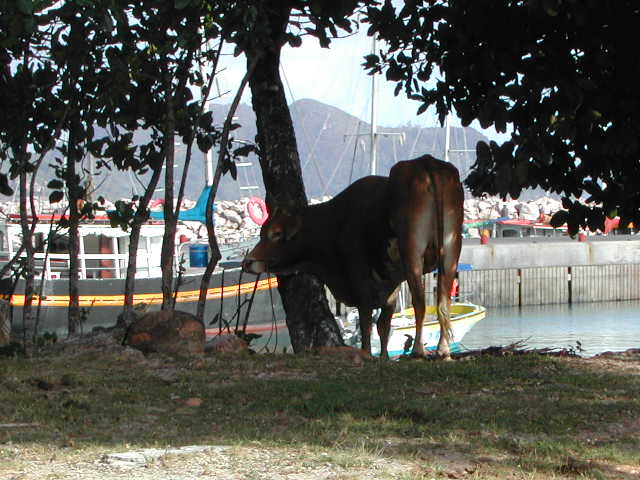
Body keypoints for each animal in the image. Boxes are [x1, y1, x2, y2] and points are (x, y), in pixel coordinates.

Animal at [242, 156, 462, 358]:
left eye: (276, 234)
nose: (248, 262)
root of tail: (426, 162)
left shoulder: (360, 279)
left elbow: (366, 322)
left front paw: (367, 354)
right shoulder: (390, 284)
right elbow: (383, 325)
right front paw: (383, 358)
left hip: (412, 250)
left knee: (420, 303)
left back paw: (418, 351)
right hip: (451, 250)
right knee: (444, 302)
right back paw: (443, 350)